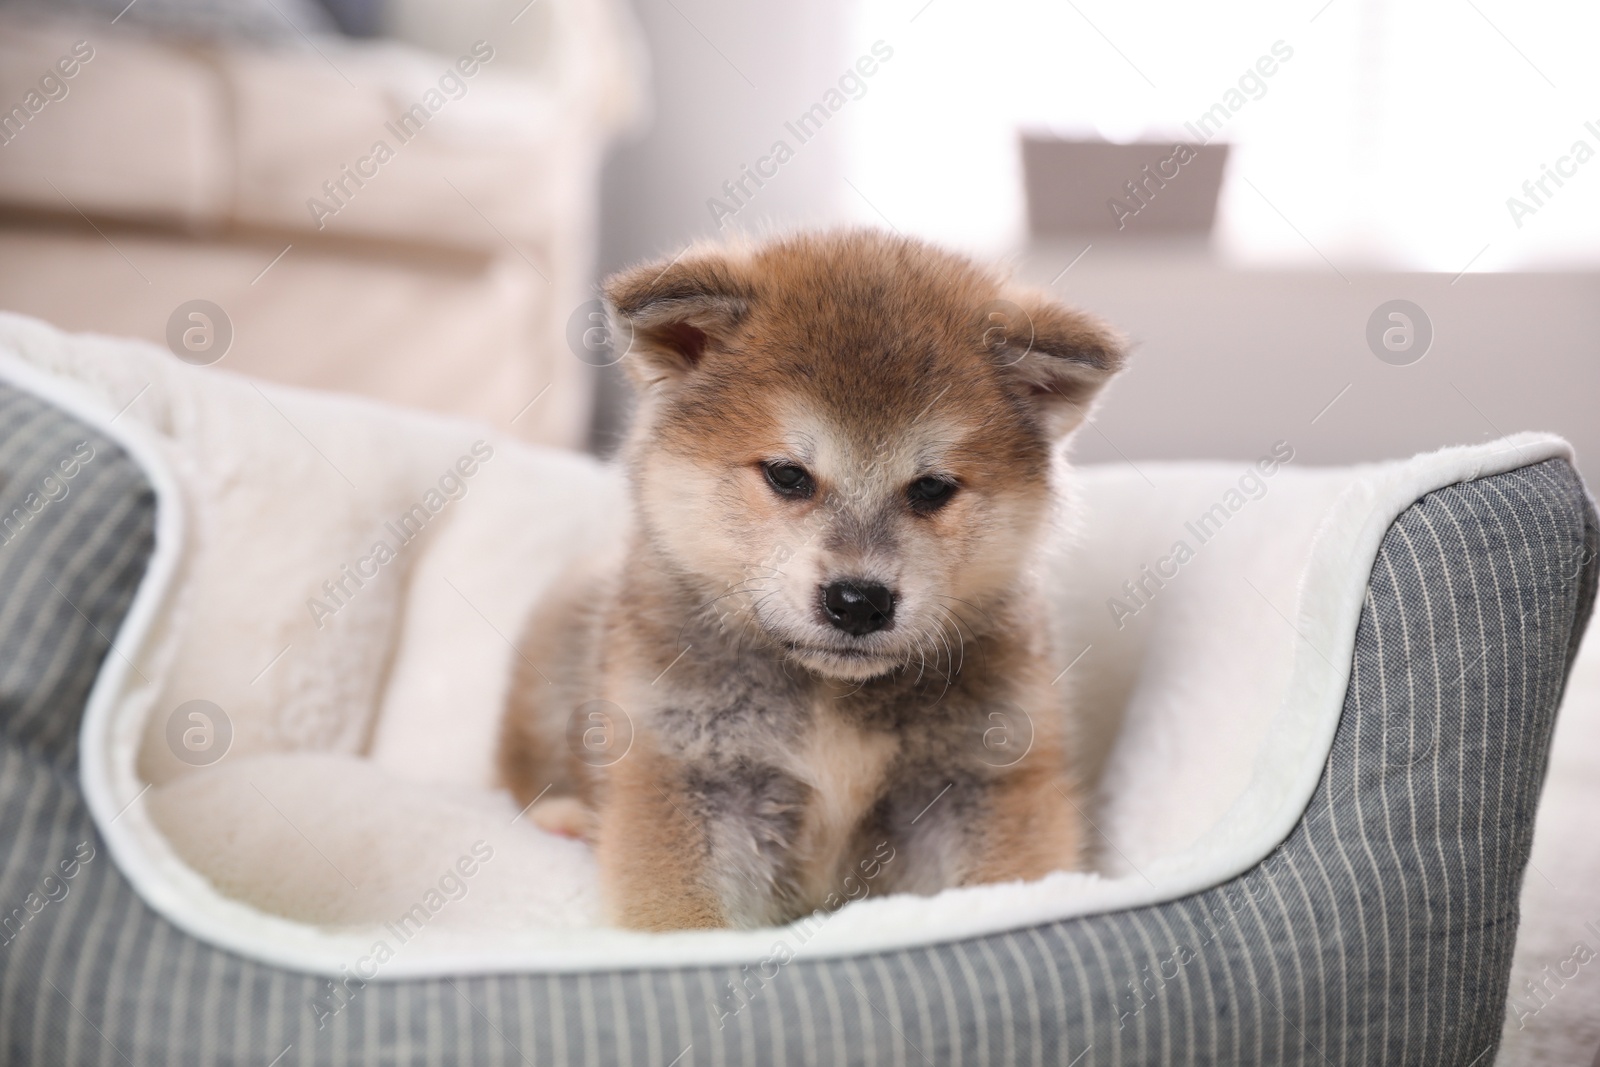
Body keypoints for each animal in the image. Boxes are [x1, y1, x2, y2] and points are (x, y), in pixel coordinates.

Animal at [499, 230, 1126, 927]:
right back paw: (565, 816)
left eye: (933, 488)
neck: (831, 697)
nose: (858, 602)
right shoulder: (685, 774)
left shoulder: (983, 778)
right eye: (787, 475)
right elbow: (683, 920)